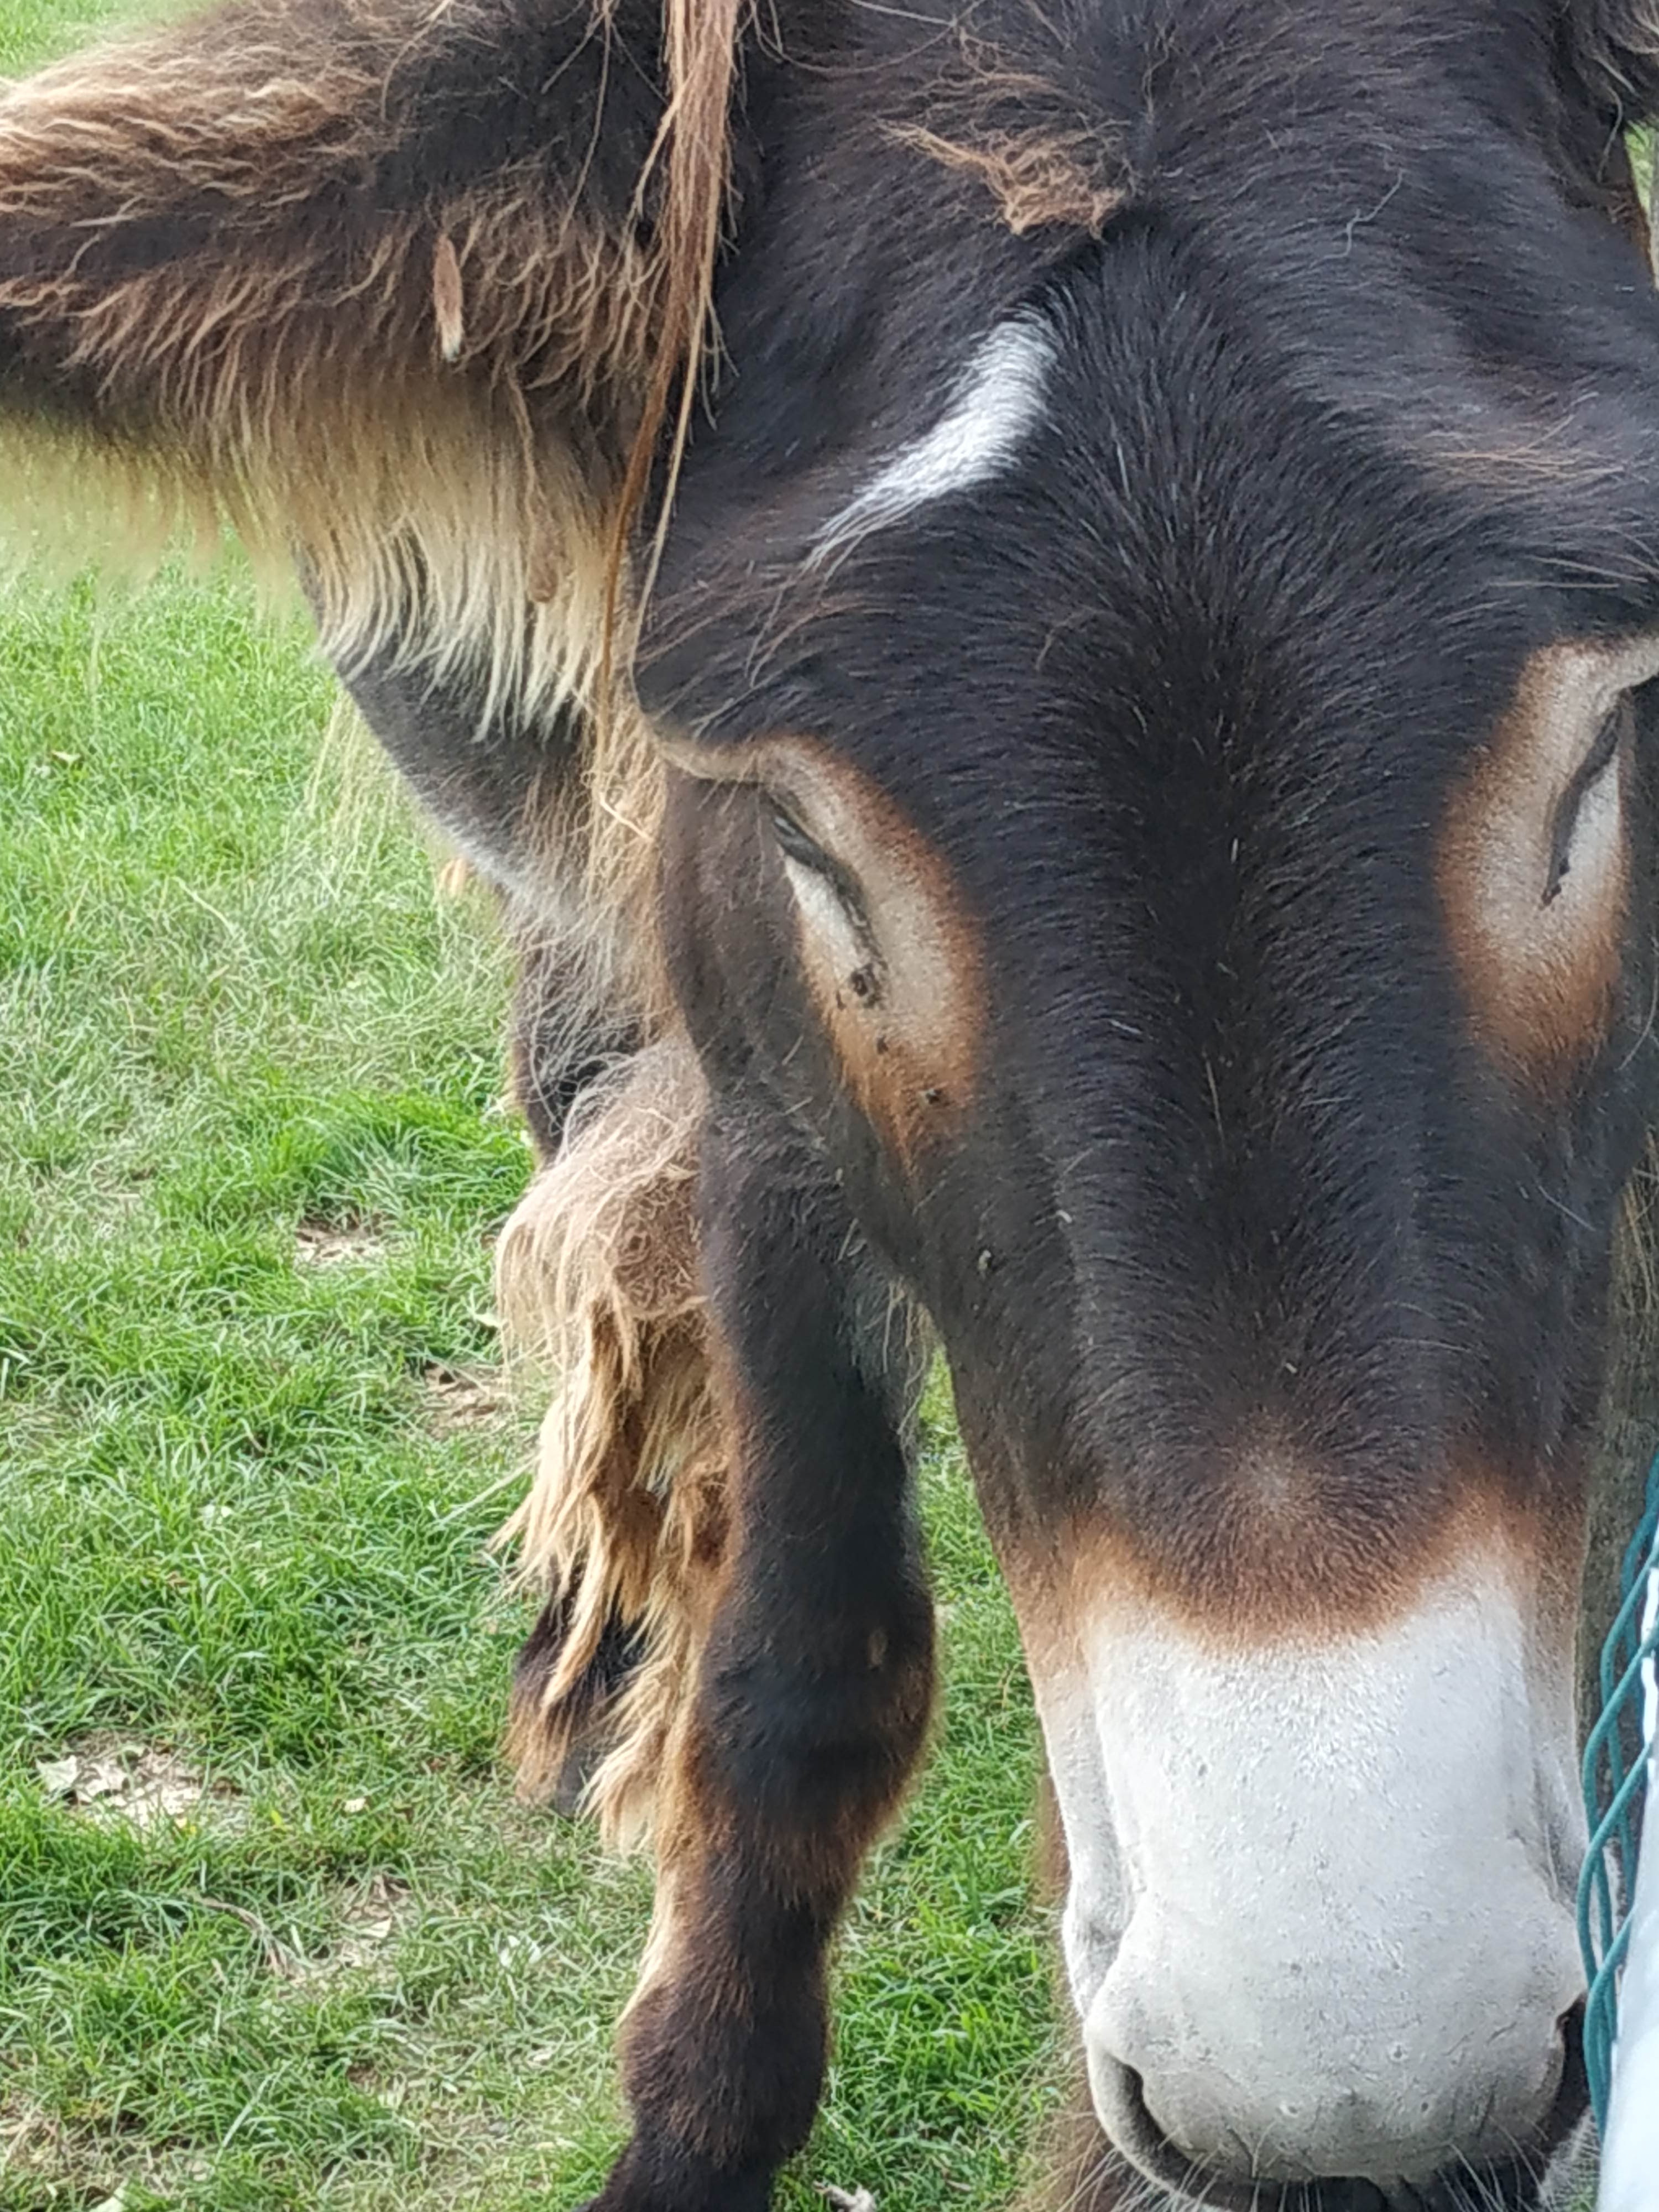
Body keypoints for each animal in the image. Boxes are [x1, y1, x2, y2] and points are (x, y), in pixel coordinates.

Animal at [3, 2, 1659, 2205]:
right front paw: (685, 2123)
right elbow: (799, 1673)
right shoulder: (756, 1083)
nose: (1351, 2091)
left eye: (1606, 732)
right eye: (800, 828)